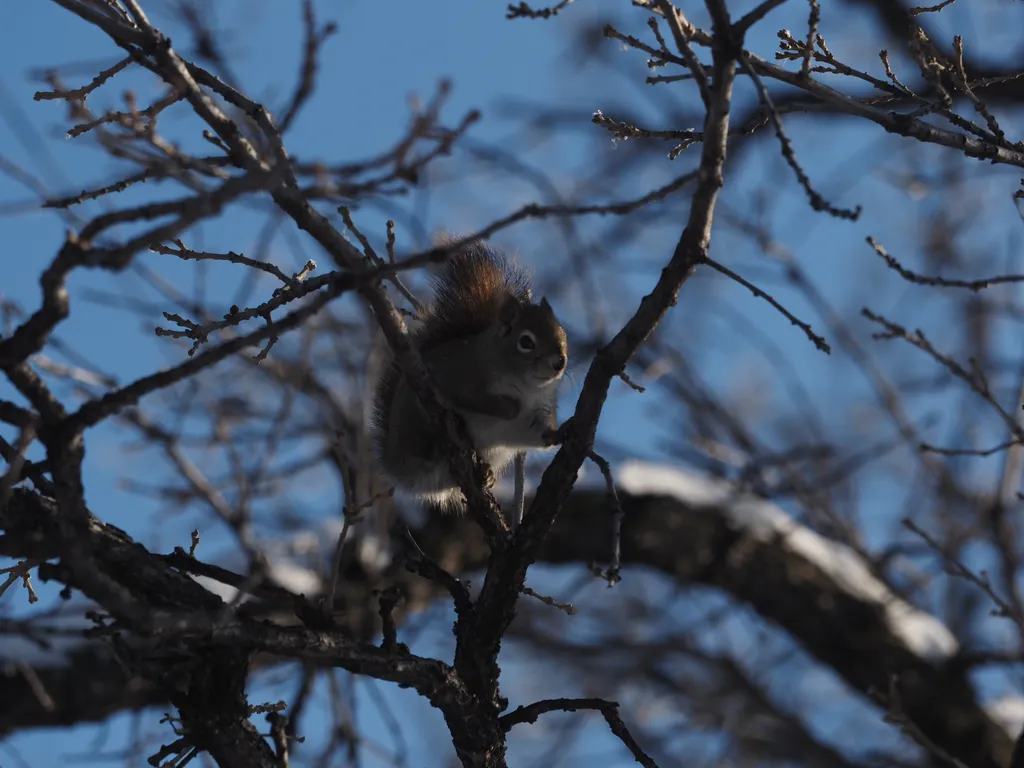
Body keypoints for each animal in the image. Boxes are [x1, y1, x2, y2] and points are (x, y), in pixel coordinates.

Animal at [372, 239, 573, 512]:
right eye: (526, 342)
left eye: (562, 333)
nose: (559, 362)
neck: (526, 387)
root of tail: (393, 464)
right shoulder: (461, 377)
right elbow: (473, 399)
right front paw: (509, 406)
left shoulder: (535, 414)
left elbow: (538, 433)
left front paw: (559, 432)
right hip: (412, 420)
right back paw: (436, 446)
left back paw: (486, 475)